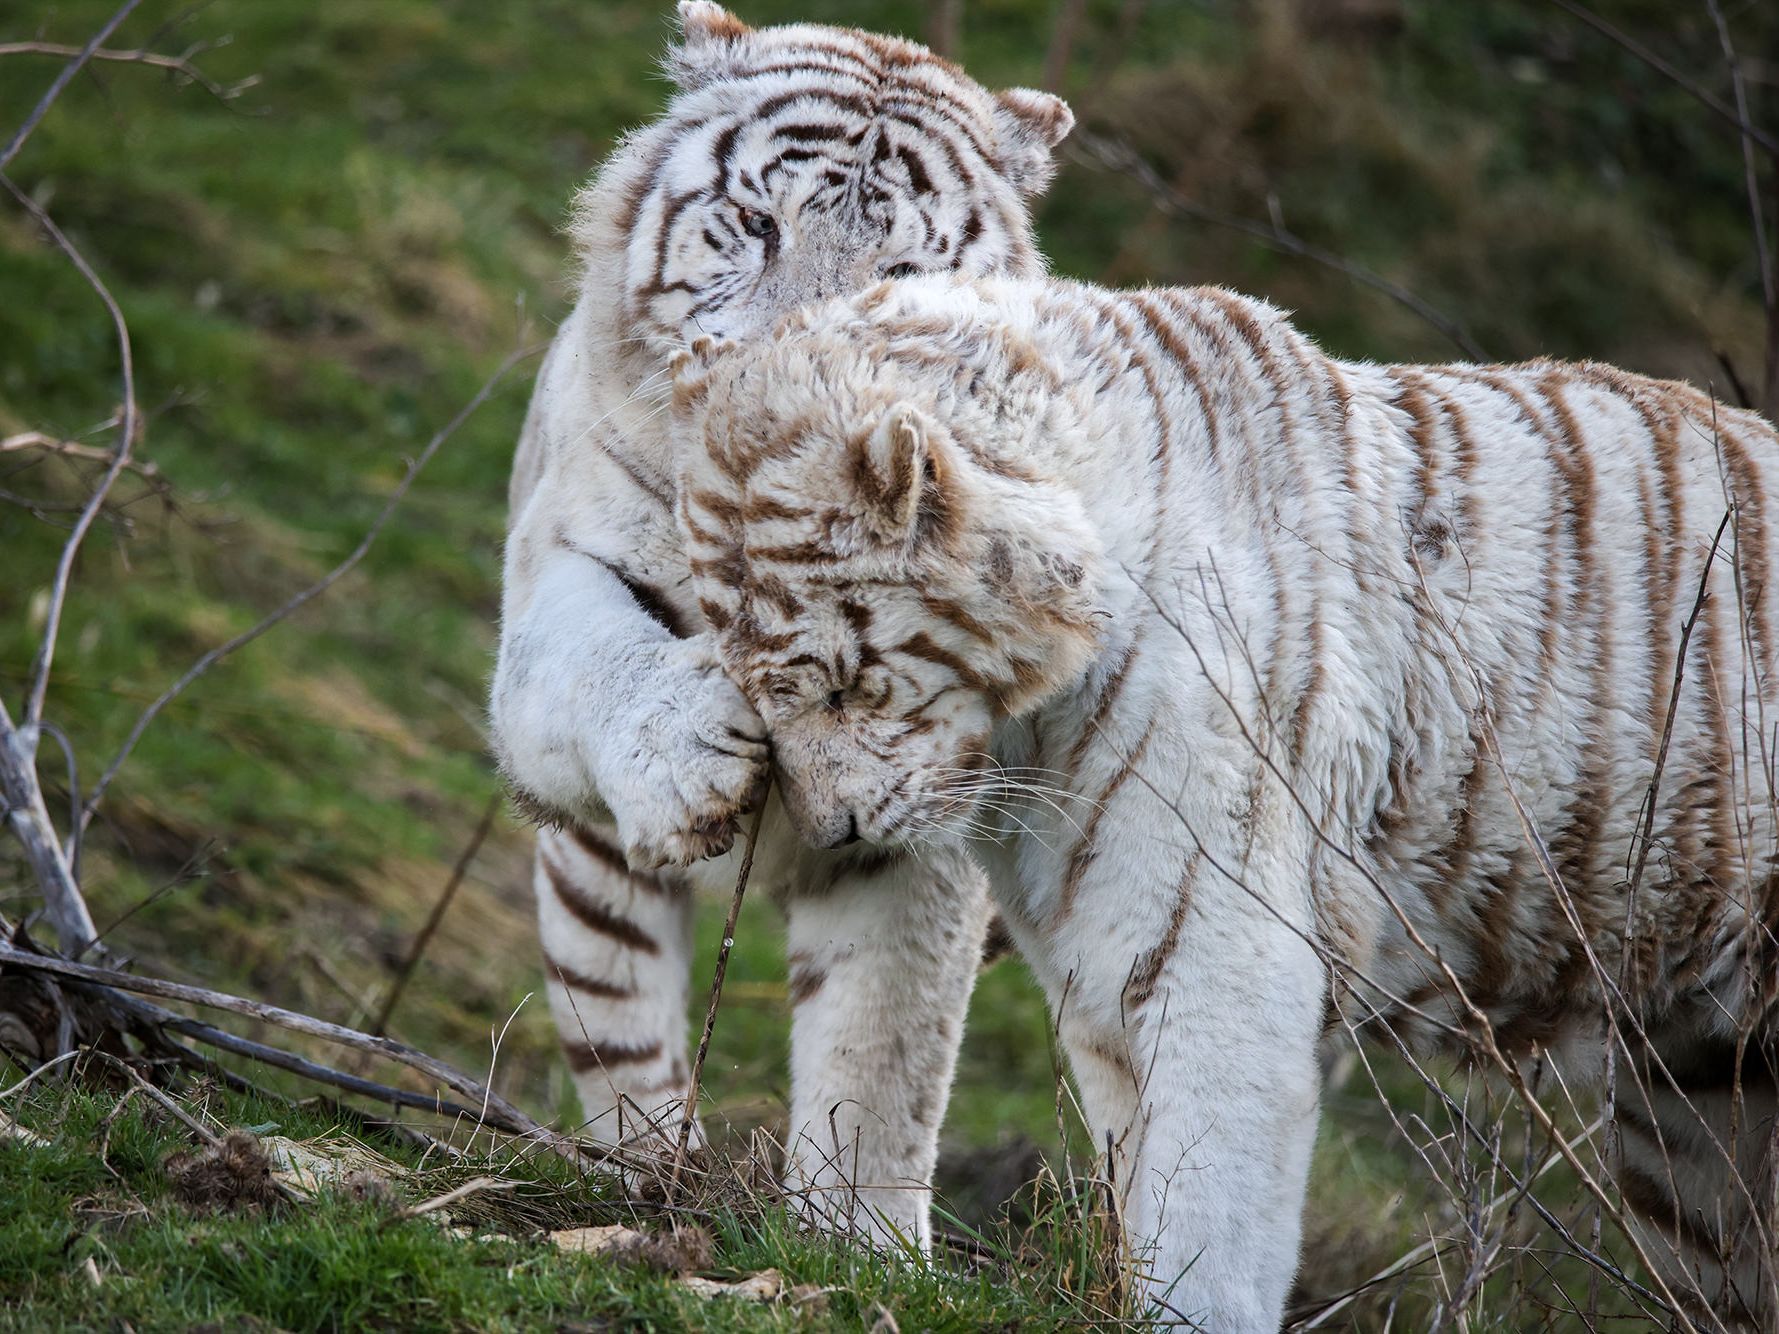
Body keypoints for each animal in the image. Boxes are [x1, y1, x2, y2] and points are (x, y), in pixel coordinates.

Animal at [487, 2, 1067, 1252]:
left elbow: (882, 1048)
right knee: (627, 1041)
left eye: (901, 273)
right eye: (756, 223)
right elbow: (597, 657)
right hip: (590, 890)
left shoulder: (930, 818)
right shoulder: (560, 571)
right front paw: (692, 748)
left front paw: (854, 1244)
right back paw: (651, 1183)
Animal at [668, 277, 1779, 1330]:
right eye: (761, 701)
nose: (834, 833)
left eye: (842, 684)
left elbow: (1208, 1214)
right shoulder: (1101, 970)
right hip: (1697, 1107)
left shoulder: (1220, 945)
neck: (1037, 727)